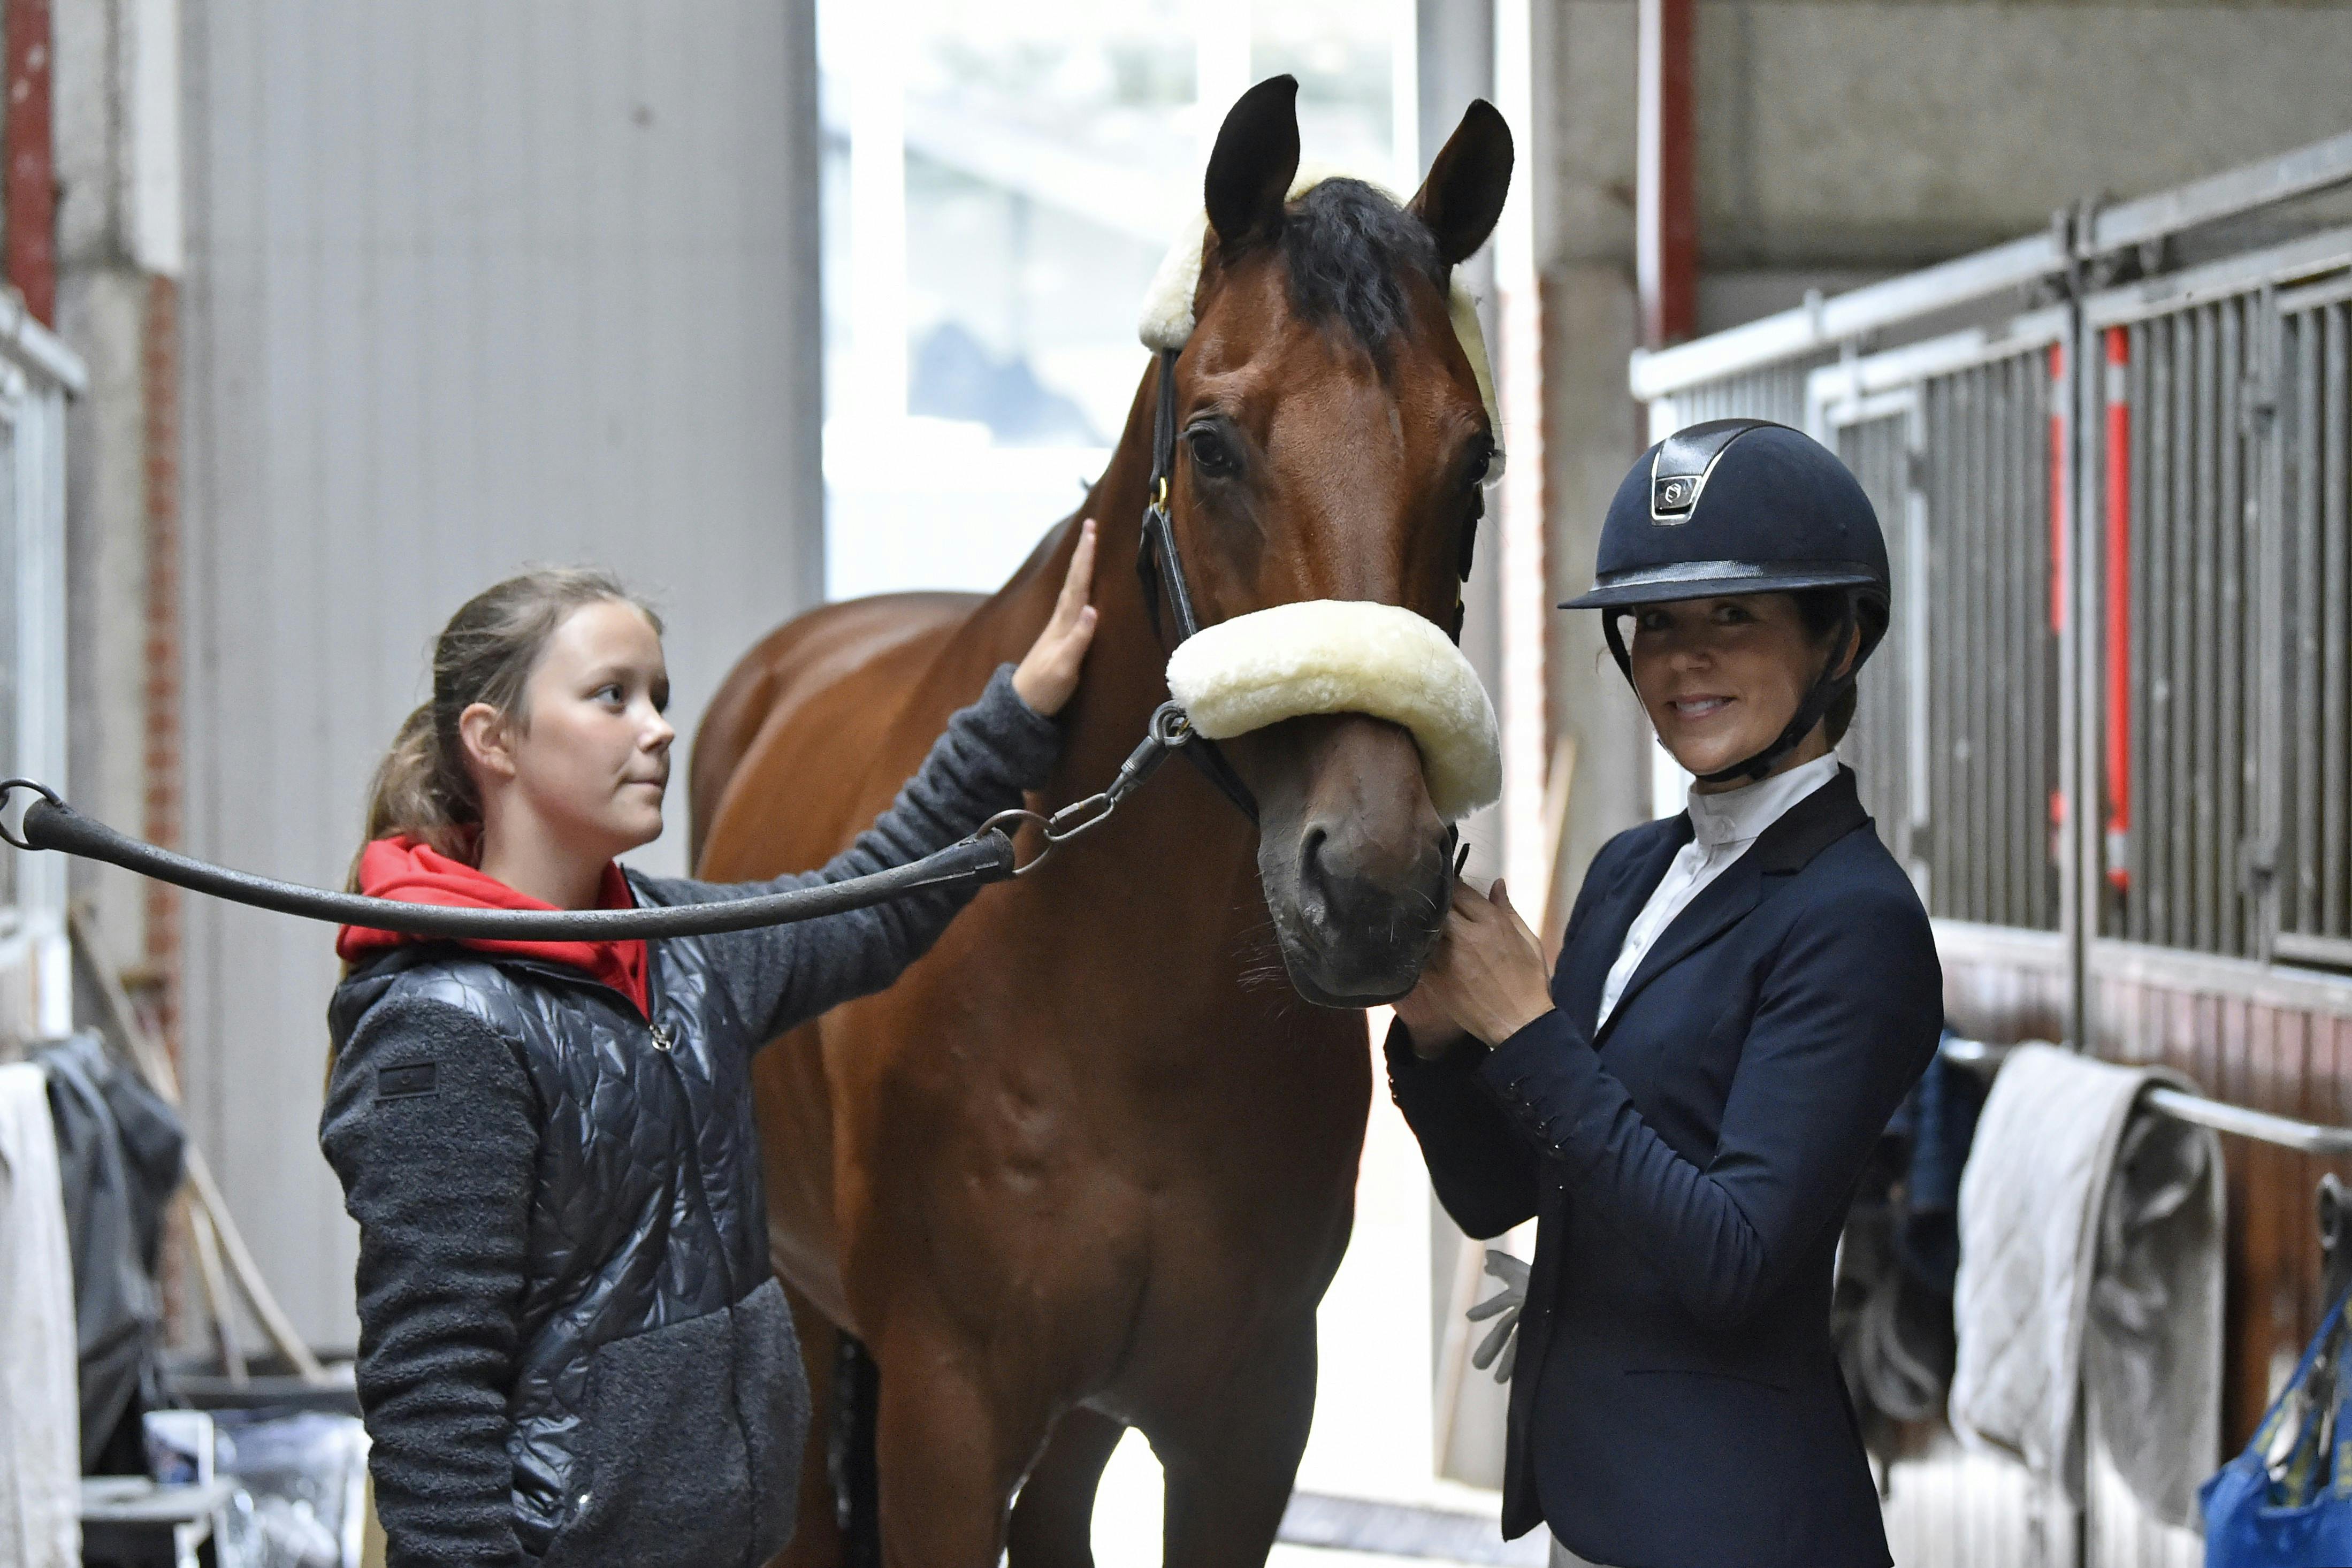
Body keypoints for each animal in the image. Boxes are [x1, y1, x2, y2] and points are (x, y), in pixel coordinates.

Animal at [686, 76, 1515, 1568]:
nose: (1370, 886)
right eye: (1212, 445)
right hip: (807, 1315)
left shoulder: (1244, 1421)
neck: (1118, 1006)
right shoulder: (945, 1422)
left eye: (1472, 463)